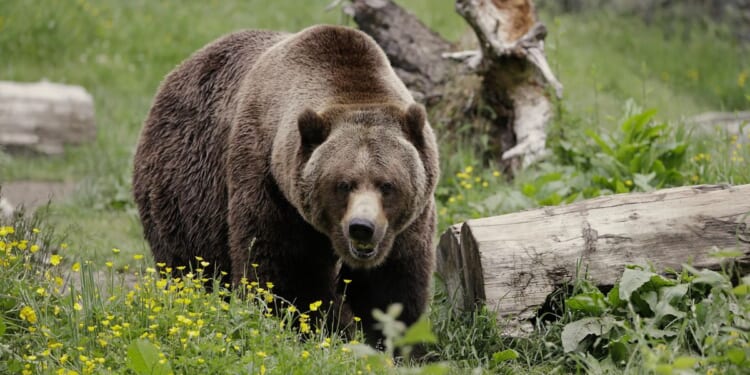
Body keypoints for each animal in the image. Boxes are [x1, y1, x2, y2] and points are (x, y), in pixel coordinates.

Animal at [134, 23, 440, 340]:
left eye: (387, 185)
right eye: (343, 184)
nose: (362, 227)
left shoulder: (408, 222)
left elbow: (392, 283)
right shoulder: (270, 183)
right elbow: (286, 271)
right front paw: (316, 326)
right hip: (186, 189)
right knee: (190, 260)